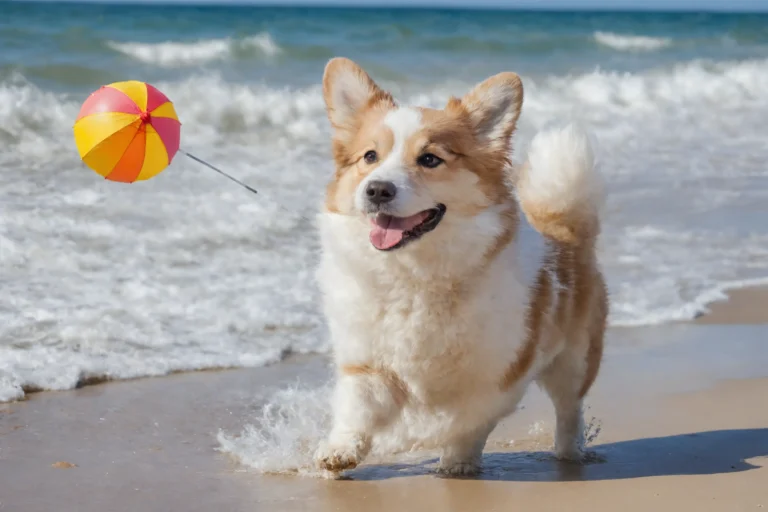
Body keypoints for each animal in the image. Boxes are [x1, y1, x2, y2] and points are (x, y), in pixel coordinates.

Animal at [312, 58, 608, 478]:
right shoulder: (368, 362)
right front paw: (340, 451)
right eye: (370, 157)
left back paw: (569, 453)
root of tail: (564, 228)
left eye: (429, 159)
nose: (377, 190)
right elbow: (358, 409)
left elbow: (467, 422)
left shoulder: (498, 376)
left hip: (575, 360)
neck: (416, 276)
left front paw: (455, 460)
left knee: (569, 409)